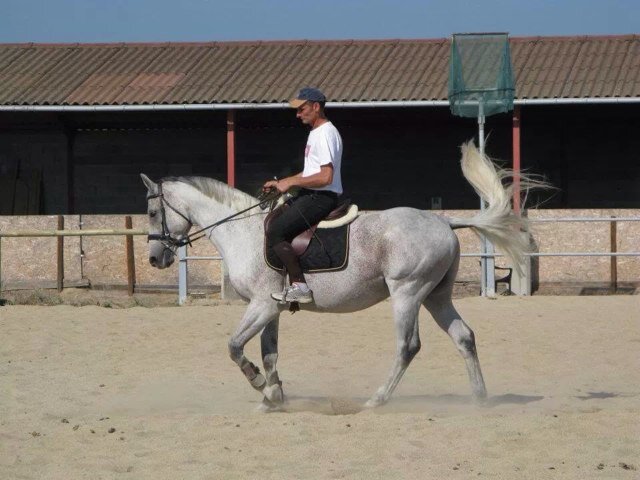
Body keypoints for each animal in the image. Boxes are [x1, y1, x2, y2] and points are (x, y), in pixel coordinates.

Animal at [142, 141, 532, 410]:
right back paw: (480, 398)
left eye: (151, 212)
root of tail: (444, 221)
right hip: (436, 296)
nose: (154, 258)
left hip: (408, 293)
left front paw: (260, 387)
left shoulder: (260, 306)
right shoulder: (271, 308)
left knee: (408, 346)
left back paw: (377, 399)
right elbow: (270, 353)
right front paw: (274, 397)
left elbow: (235, 346)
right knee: (463, 336)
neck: (244, 231)